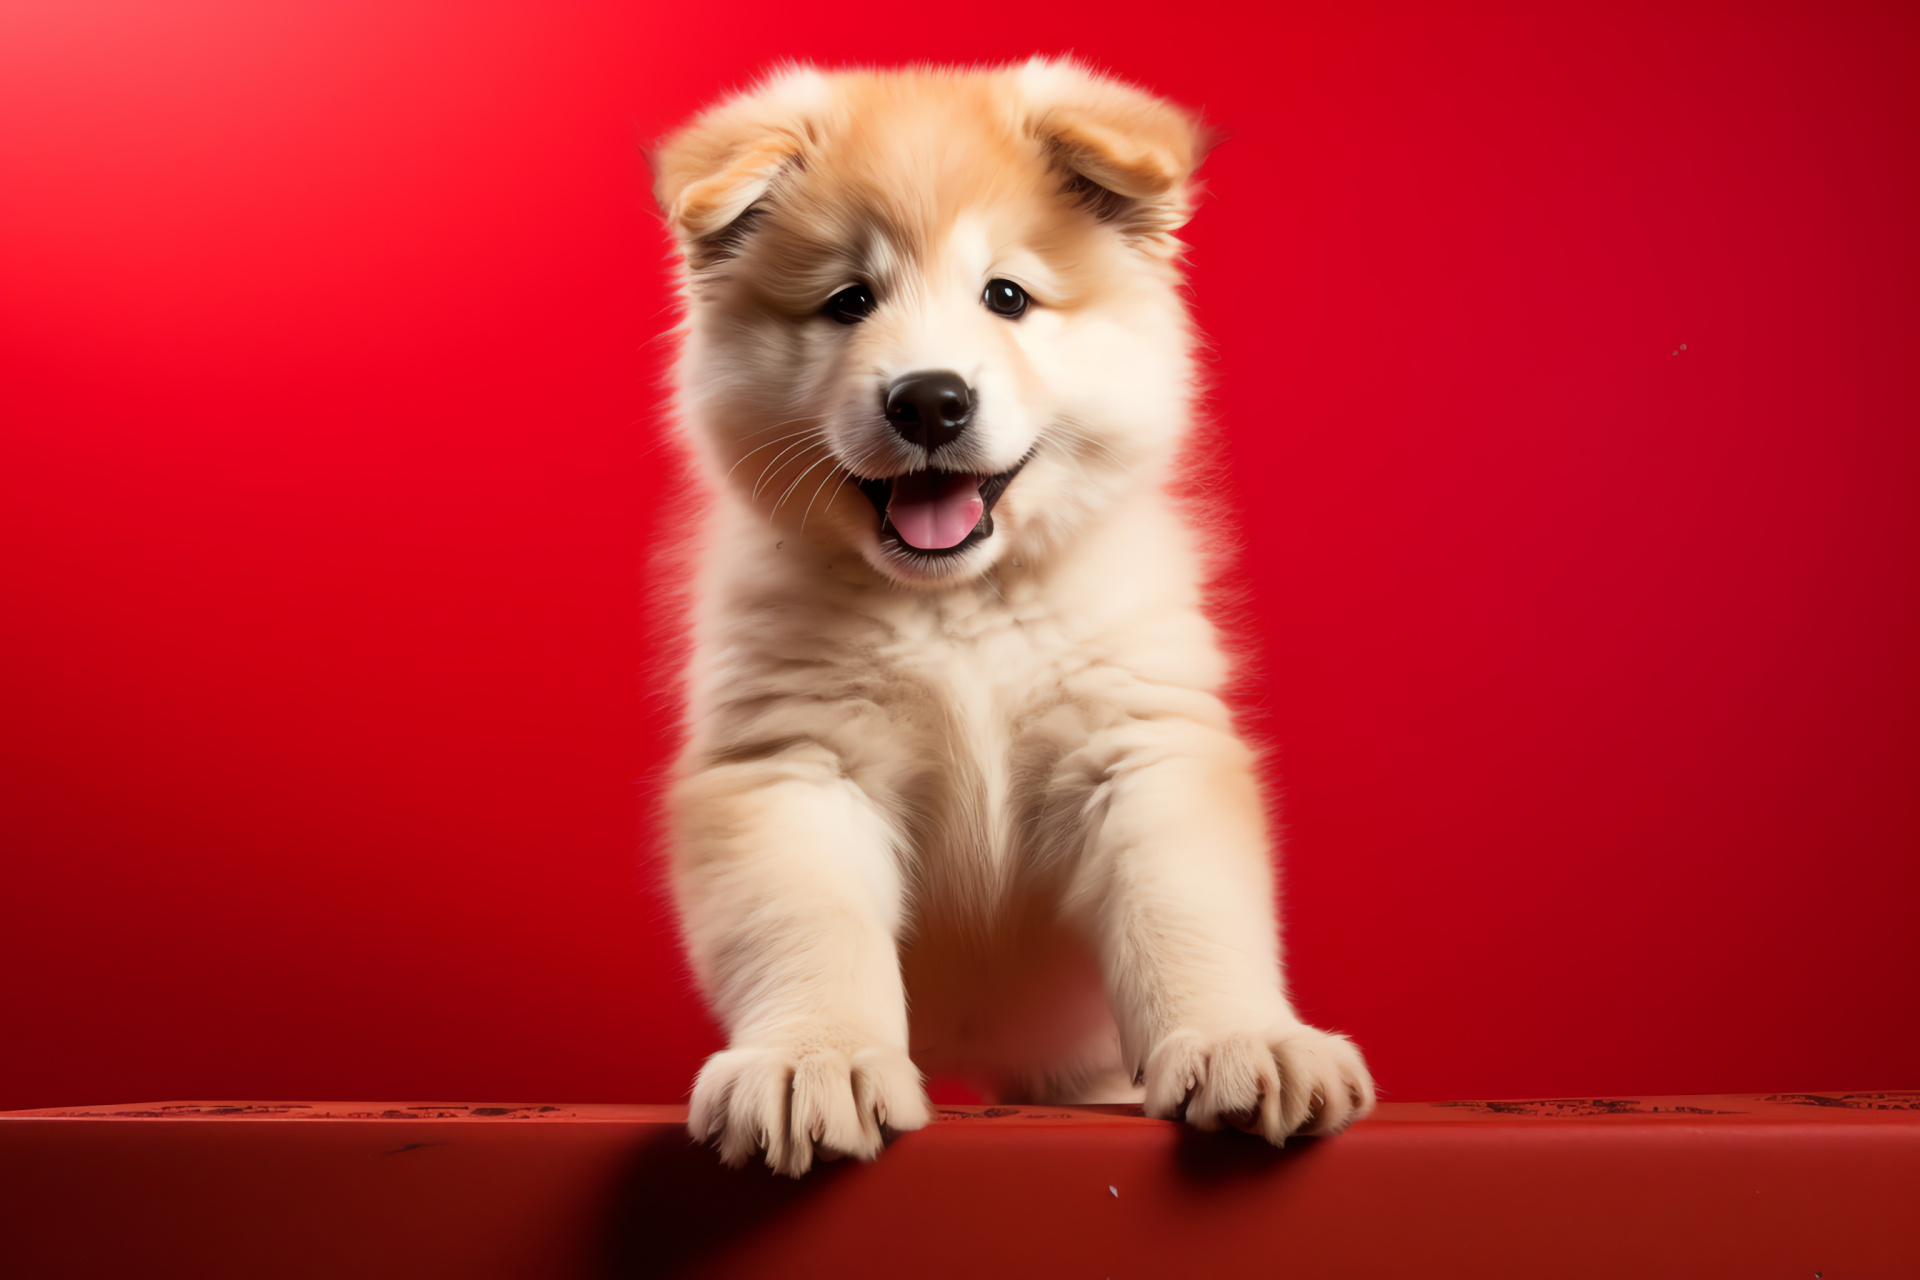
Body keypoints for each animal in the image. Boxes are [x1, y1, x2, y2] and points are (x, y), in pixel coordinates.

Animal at [652, 62, 1374, 1182]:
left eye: (1007, 296)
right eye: (849, 301)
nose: (930, 400)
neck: (958, 607)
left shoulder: (1138, 747)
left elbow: (1189, 913)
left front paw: (1242, 1039)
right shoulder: (795, 766)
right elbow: (810, 930)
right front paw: (815, 1060)